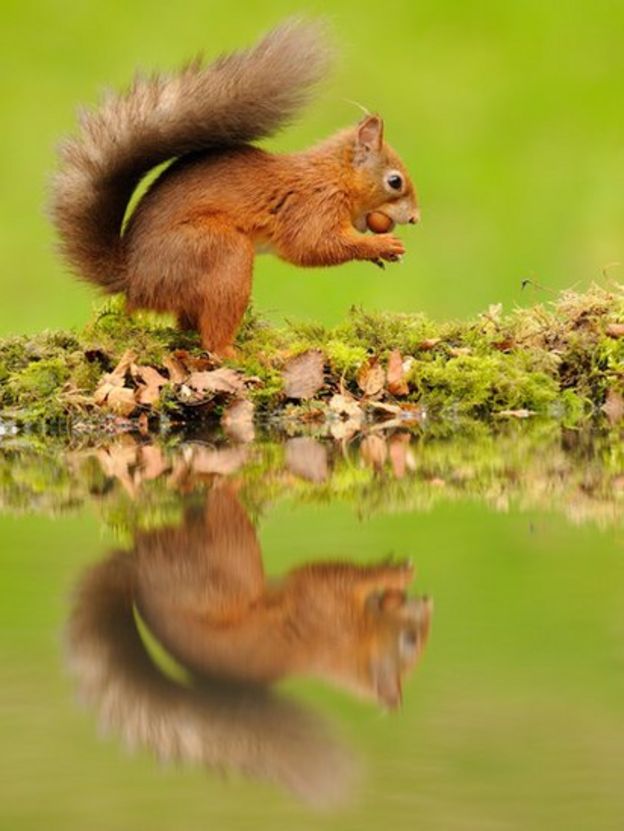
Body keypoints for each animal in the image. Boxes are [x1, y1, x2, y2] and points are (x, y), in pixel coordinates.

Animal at [50, 19, 420, 356]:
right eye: (395, 181)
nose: (416, 218)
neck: (334, 177)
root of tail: (136, 279)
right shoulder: (313, 206)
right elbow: (313, 245)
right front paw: (380, 246)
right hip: (223, 255)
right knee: (213, 337)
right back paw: (239, 354)